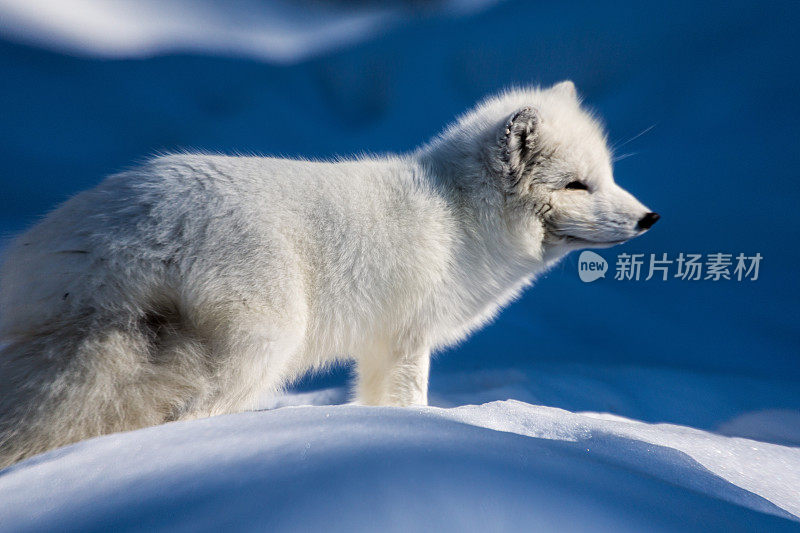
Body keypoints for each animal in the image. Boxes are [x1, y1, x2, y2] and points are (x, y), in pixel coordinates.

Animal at [0, 81, 656, 464]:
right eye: (576, 186)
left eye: (606, 176)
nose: (649, 218)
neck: (457, 215)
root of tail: (114, 234)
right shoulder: (407, 338)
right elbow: (410, 401)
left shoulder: (378, 345)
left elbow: (371, 399)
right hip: (265, 343)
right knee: (183, 414)